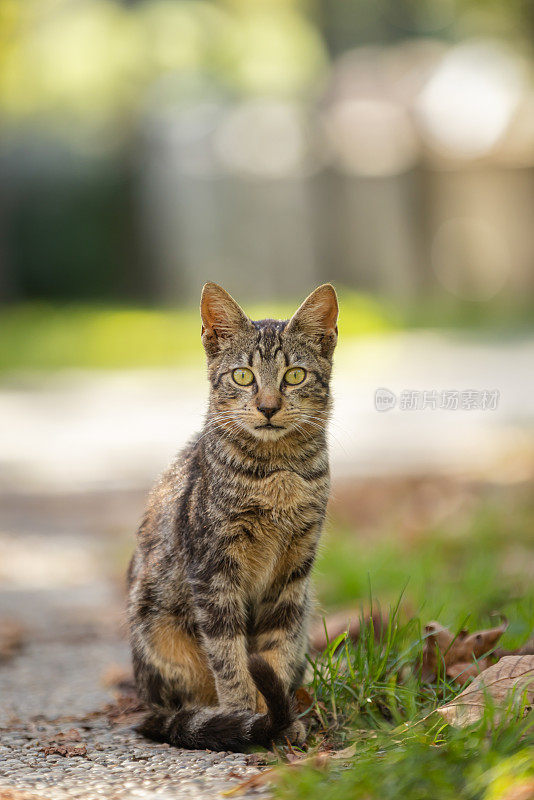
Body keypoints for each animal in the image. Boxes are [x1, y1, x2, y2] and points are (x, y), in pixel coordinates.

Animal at [127, 282, 340, 752]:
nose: (268, 406)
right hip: (160, 630)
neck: (278, 473)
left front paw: (279, 721)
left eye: (294, 375)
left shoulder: (293, 572)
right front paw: (249, 718)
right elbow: (229, 659)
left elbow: (276, 652)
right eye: (243, 376)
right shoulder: (213, 570)